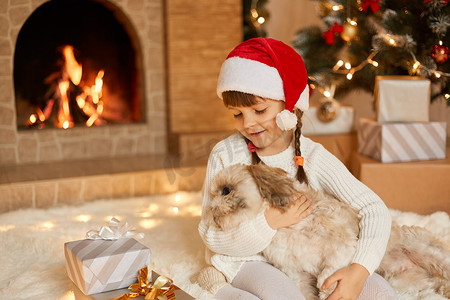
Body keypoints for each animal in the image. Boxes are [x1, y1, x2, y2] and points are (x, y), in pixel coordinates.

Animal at [204, 164, 450, 300]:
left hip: (427, 252)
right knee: (432, 286)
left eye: (226, 190)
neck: (284, 229)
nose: (210, 211)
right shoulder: (298, 275)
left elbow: (327, 275)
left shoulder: (343, 246)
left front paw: (328, 292)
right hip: (406, 282)